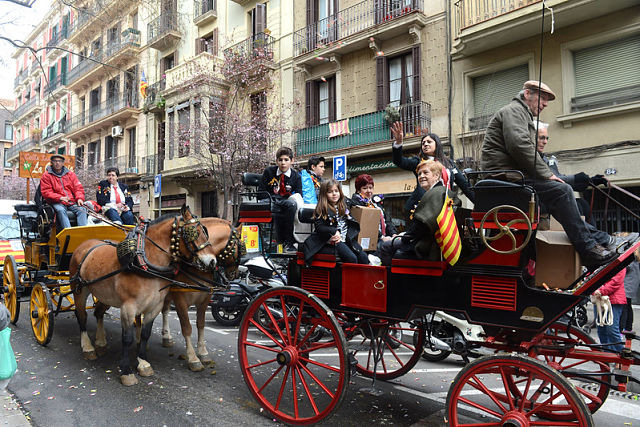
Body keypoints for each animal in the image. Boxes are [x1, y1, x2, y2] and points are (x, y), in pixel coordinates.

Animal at [69, 206, 220, 386]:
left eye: (205, 231)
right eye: (193, 232)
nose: (212, 262)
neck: (143, 261)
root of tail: (85, 244)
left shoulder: (154, 306)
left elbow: (146, 334)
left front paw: (143, 363)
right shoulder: (128, 308)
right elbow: (127, 338)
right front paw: (126, 371)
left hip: (103, 294)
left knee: (98, 313)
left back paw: (100, 341)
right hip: (79, 289)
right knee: (82, 316)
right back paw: (88, 347)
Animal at [161, 219, 246, 372]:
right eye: (240, 246)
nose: (236, 274)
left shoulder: (204, 300)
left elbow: (200, 324)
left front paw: (203, 352)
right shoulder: (180, 301)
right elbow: (187, 328)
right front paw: (193, 358)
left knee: (164, 310)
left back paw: (166, 336)